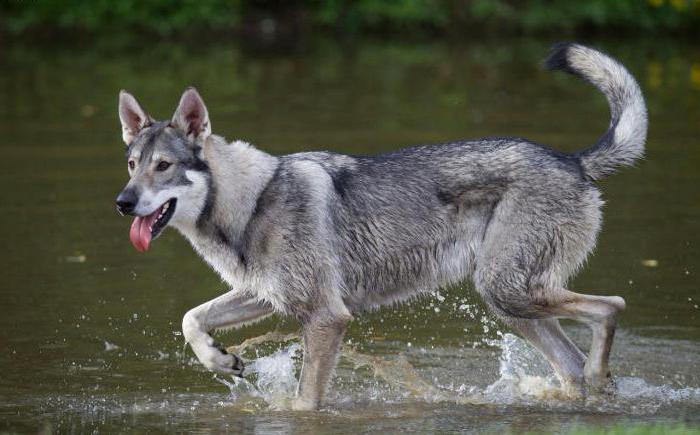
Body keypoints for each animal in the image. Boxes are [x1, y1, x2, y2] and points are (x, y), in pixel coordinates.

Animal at [117, 42, 648, 410]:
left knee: (612, 306)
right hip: (511, 304)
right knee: (573, 362)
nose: (123, 203)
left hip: (509, 291)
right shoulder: (266, 295)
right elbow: (192, 318)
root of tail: (573, 161)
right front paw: (220, 359)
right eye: (131, 165)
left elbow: (305, 404)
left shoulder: (326, 317)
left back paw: (600, 375)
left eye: (163, 166)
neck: (251, 201)